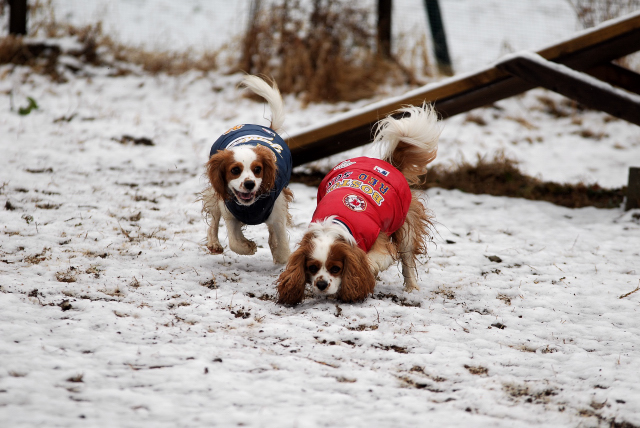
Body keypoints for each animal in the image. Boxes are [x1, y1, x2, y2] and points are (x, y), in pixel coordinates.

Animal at [201, 76, 294, 264]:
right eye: (235, 170)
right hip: (215, 197)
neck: (251, 205)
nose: (250, 184)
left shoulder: (277, 212)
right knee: (213, 221)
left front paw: (281, 257)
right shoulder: (229, 212)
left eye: (258, 169)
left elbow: (281, 243)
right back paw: (214, 243)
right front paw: (249, 247)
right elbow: (235, 242)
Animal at [276, 104, 440, 304]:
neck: (335, 225)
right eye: (312, 268)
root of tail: (387, 164)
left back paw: (411, 288)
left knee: (407, 260)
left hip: (405, 225)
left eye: (335, 268)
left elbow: (370, 262)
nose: (321, 284)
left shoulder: (381, 248)